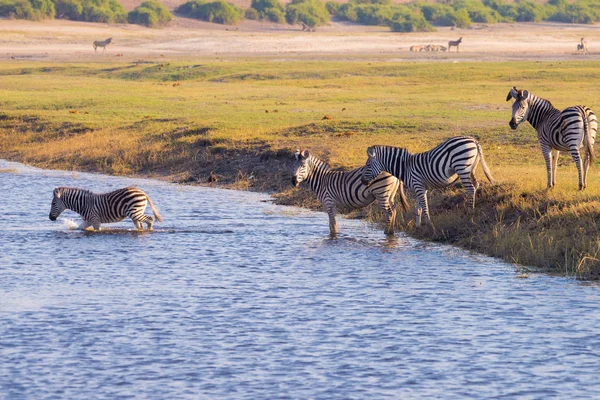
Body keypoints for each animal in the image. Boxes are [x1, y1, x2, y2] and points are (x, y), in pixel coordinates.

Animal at [358, 136, 494, 227]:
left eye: (368, 165)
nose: (363, 181)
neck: (405, 167)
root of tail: (473, 140)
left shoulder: (419, 186)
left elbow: (424, 206)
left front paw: (429, 224)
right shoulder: (419, 188)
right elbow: (418, 208)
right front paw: (418, 227)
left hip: (462, 166)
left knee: (470, 189)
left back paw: (470, 213)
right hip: (471, 168)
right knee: (475, 185)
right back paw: (472, 210)